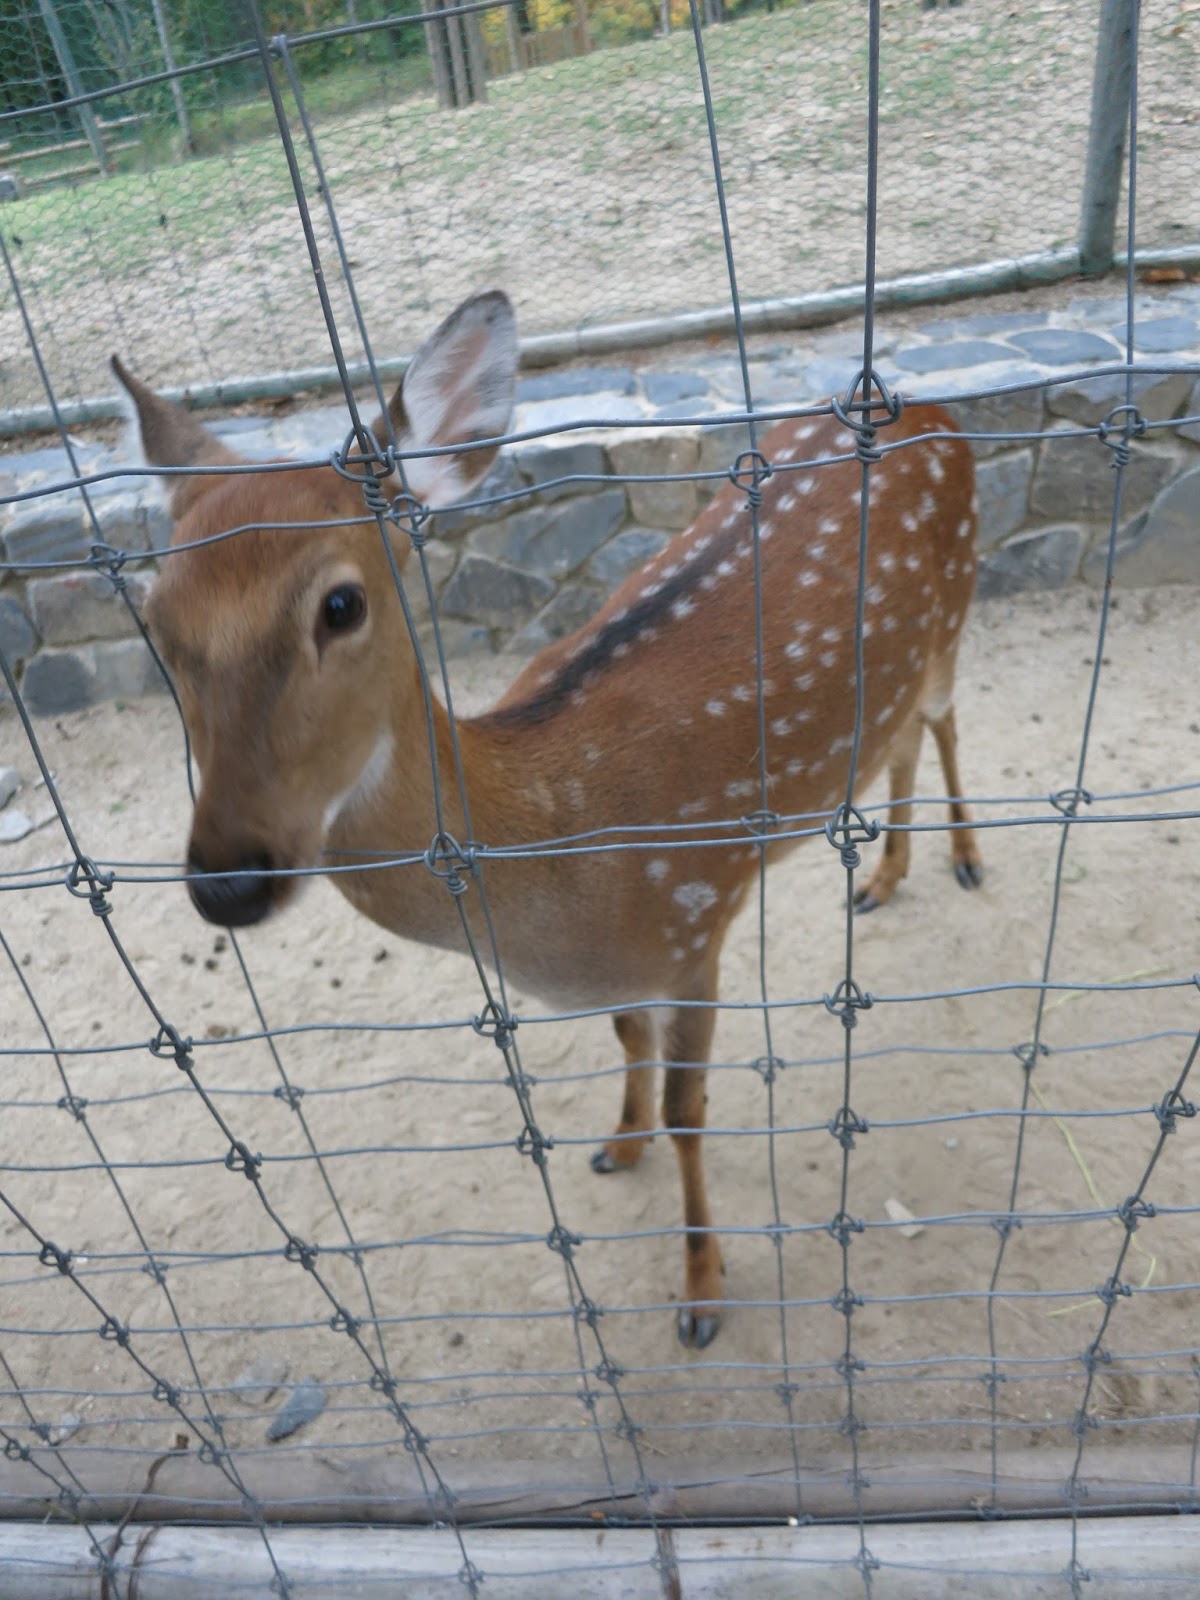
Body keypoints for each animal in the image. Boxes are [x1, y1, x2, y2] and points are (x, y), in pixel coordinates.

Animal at [114, 289, 982, 1350]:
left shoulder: (697, 921)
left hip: (955, 610)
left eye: (341, 603)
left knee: (943, 720)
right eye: (155, 620)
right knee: (897, 741)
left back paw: (963, 860)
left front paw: (702, 1292)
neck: (562, 851)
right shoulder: (634, 965)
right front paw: (618, 1141)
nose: (229, 880)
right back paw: (884, 877)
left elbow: (694, 1108)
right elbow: (628, 1042)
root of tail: (927, 408)